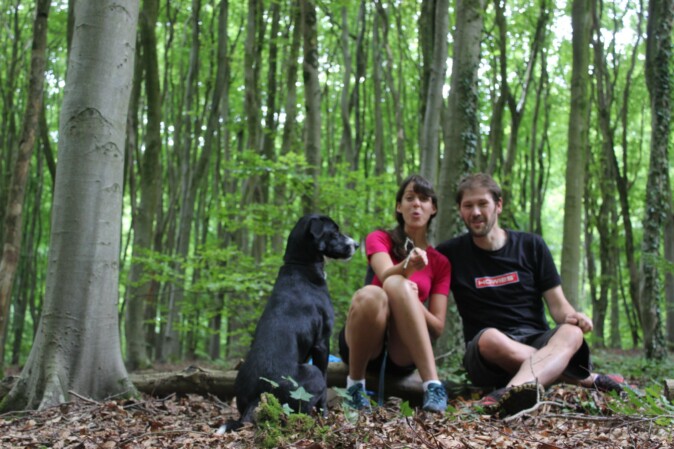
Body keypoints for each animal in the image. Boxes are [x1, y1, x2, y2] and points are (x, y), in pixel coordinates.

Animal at [219, 214, 356, 430]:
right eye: (334, 232)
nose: (356, 244)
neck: (299, 265)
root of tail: (257, 396)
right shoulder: (322, 343)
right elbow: (325, 384)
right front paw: (325, 415)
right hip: (312, 373)